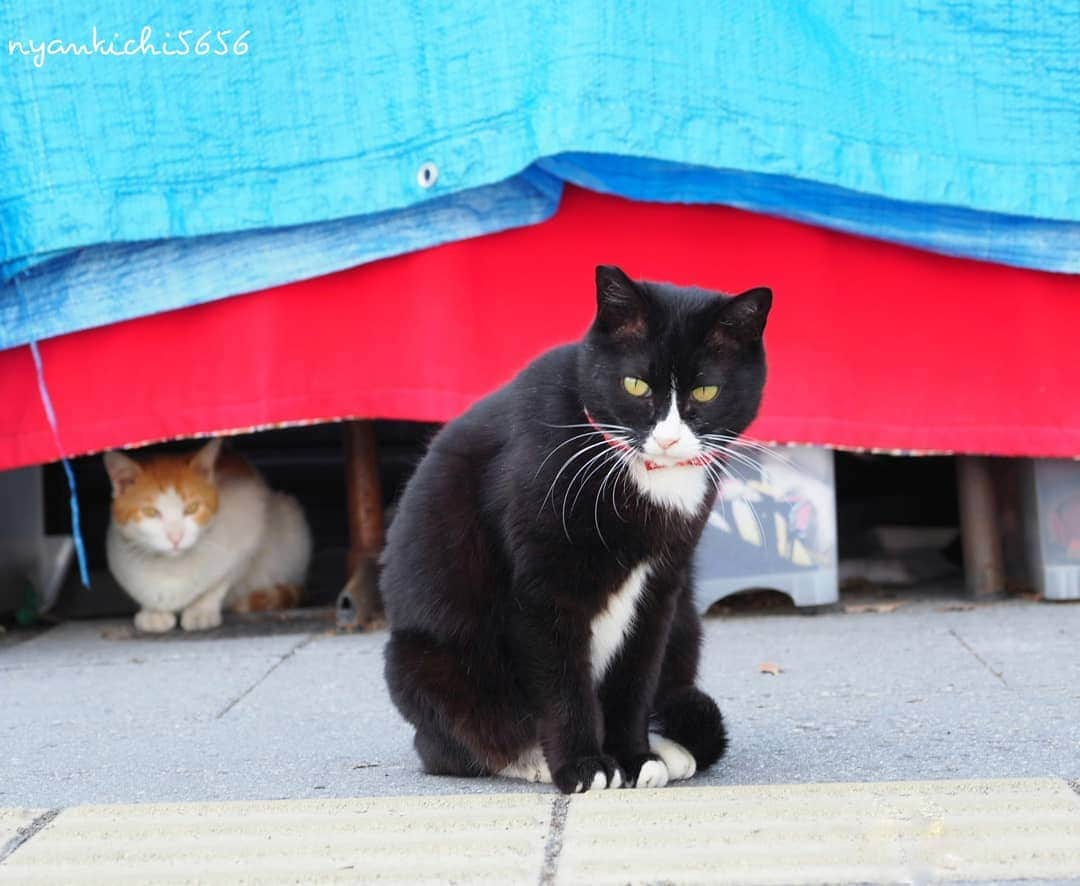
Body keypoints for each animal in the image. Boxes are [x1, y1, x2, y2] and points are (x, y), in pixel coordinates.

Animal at [103, 436, 313, 631]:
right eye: (150, 512)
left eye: (192, 508)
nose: (175, 537)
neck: (172, 567)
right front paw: (153, 612)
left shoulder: (249, 532)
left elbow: (219, 583)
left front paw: (201, 610)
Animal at [380, 264, 768, 795]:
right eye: (635, 385)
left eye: (706, 391)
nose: (668, 439)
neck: (642, 473)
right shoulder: (544, 586)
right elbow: (562, 682)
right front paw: (584, 766)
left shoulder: (661, 587)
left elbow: (636, 676)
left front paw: (635, 758)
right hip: (425, 661)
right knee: (450, 744)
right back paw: (530, 760)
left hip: (687, 621)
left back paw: (670, 749)